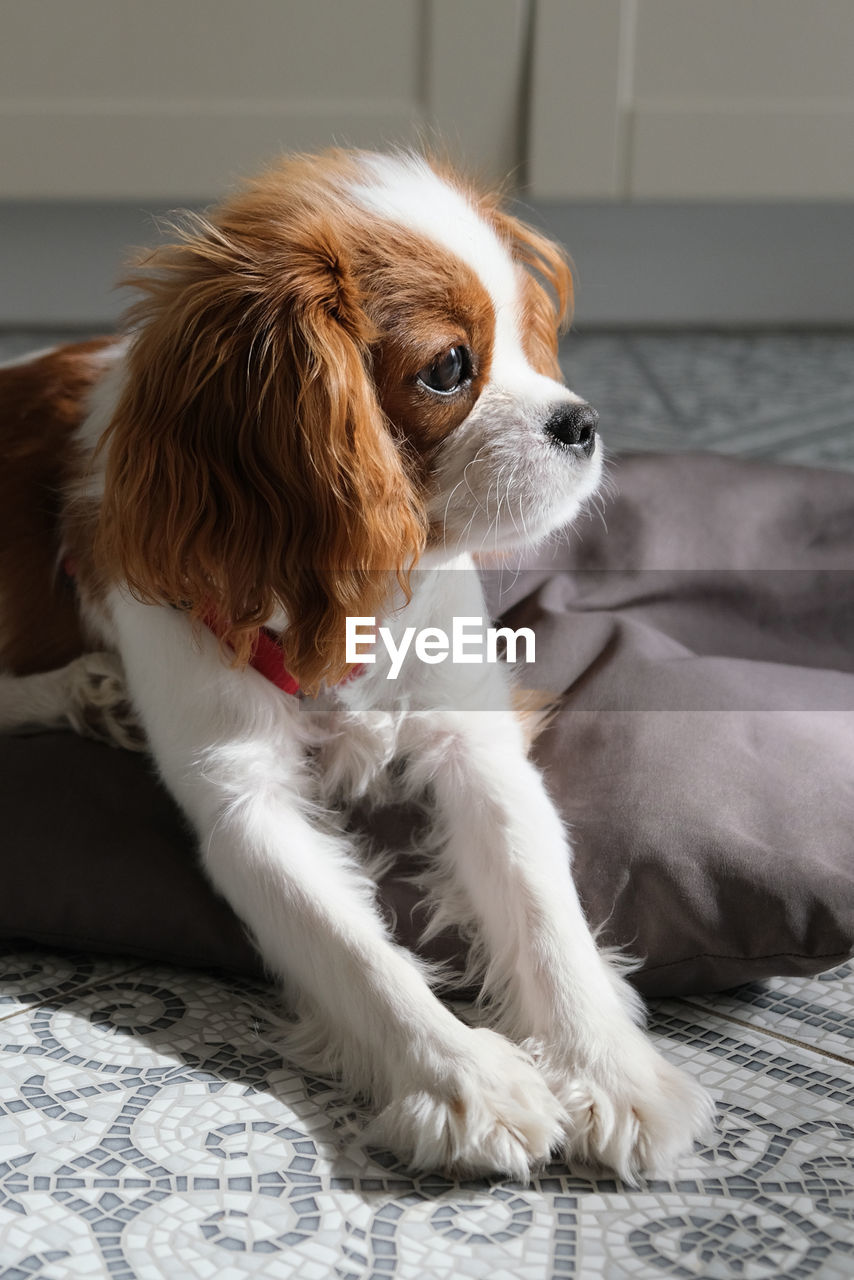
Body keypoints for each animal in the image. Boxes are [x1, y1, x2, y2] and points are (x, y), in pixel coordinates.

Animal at [0, 149, 717, 1177]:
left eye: (529, 343)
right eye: (450, 368)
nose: (580, 422)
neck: (344, 600)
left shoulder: (475, 744)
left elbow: (544, 905)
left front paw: (609, 1070)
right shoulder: (244, 805)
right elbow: (358, 955)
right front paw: (467, 1081)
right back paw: (80, 691)